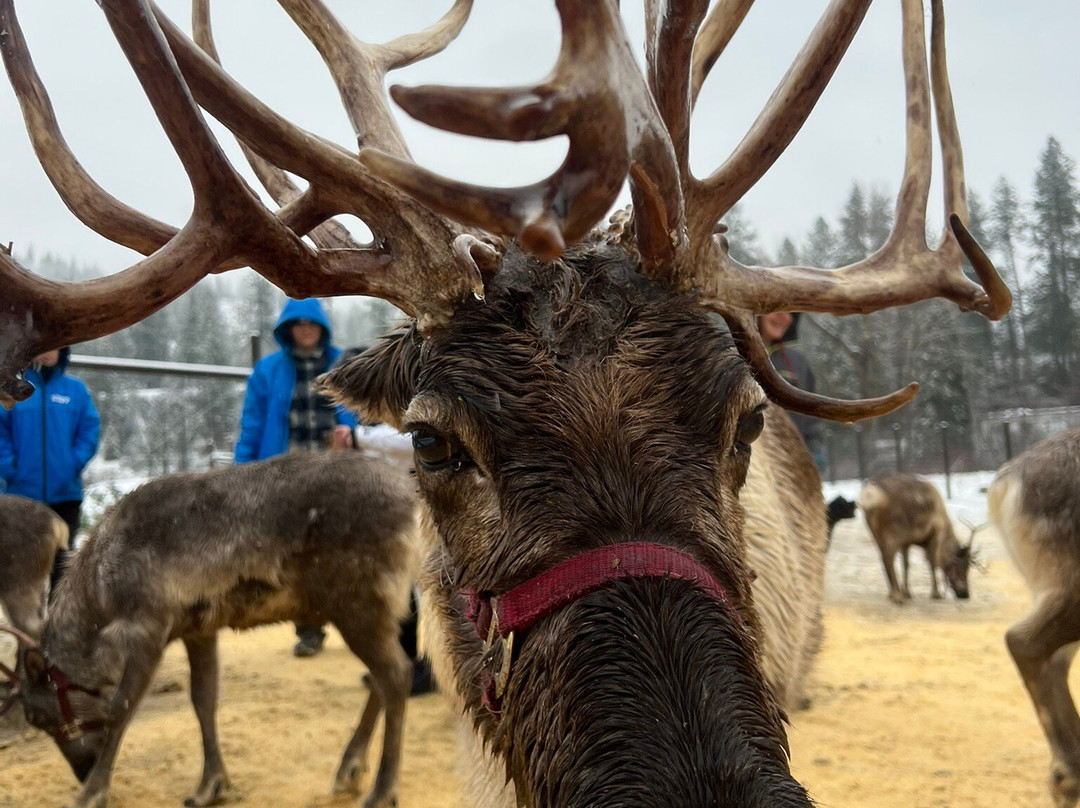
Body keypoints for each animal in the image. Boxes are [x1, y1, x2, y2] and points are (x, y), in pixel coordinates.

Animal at [858, 474, 976, 604]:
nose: (965, 594)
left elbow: (906, 564)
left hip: (875, 532)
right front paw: (936, 594)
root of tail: (869, 494)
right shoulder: (934, 534)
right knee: (888, 558)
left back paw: (892, 593)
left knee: (883, 557)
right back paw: (897, 596)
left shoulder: (906, 541)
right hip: (892, 533)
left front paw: (907, 592)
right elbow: (932, 562)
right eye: (961, 567)